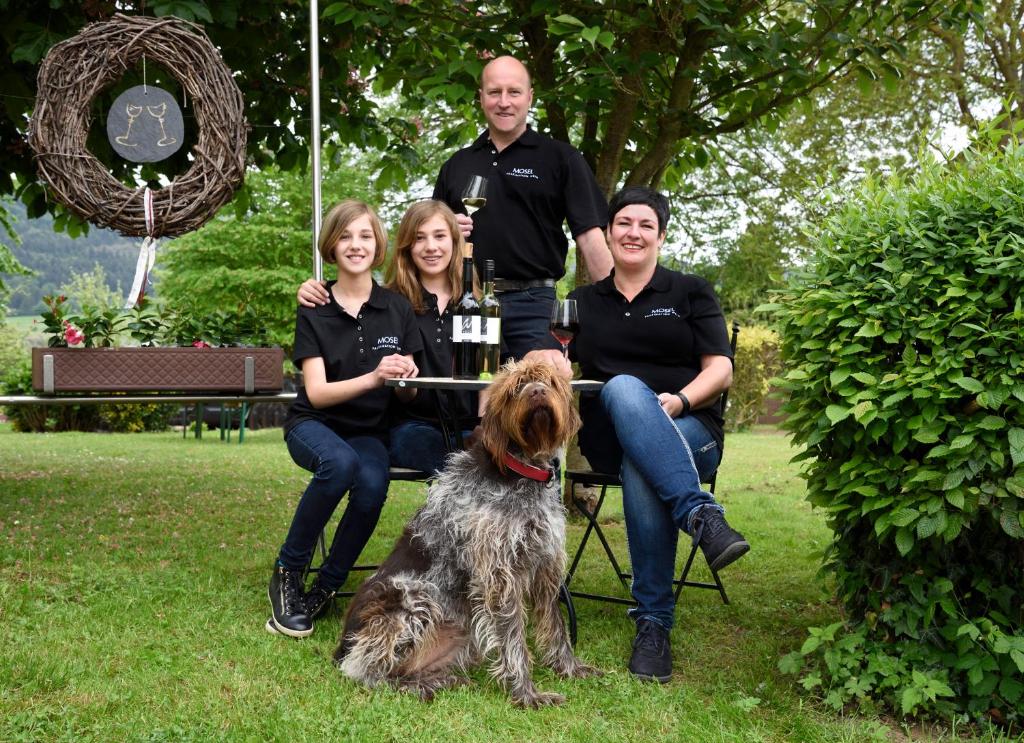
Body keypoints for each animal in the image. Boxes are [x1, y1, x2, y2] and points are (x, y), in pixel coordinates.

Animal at [331, 360, 602, 708]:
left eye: (551, 382)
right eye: (516, 387)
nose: (538, 392)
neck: (521, 471)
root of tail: (341, 646)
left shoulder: (545, 565)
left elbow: (556, 627)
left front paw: (570, 668)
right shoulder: (500, 575)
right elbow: (514, 640)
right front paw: (526, 694)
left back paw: (439, 680)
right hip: (414, 597)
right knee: (364, 670)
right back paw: (413, 686)